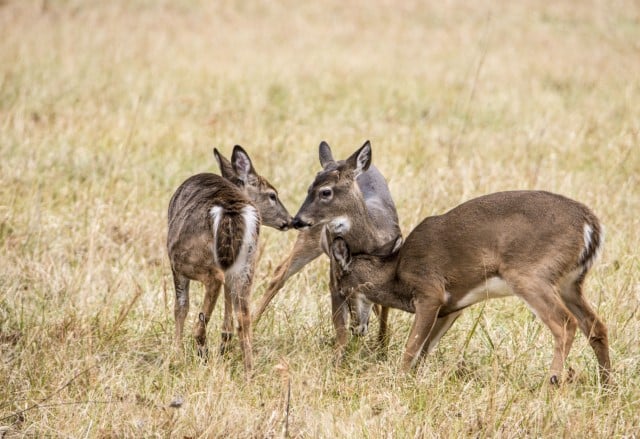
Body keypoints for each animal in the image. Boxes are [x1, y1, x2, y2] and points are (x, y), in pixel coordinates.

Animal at [168, 146, 292, 376]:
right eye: (272, 195)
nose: (289, 220)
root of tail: (230, 208)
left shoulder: (177, 266)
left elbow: (181, 307)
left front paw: (176, 357)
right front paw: (224, 344)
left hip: (187, 257)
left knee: (213, 283)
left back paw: (203, 352)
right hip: (247, 262)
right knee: (244, 314)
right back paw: (248, 371)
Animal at [252, 141, 402, 360]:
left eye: (325, 192)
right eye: (308, 189)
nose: (297, 220)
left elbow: (383, 308)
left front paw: (382, 348)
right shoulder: (336, 274)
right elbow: (340, 324)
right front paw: (339, 357)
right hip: (310, 239)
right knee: (280, 273)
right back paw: (251, 324)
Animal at [294, 143, 608, 386]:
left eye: (343, 286)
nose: (356, 327)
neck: (396, 272)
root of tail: (591, 224)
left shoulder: (430, 290)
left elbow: (411, 348)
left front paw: (398, 380)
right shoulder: (453, 305)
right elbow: (423, 350)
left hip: (530, 274)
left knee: (565, 323)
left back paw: (552, 381)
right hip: (571, 282)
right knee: (596, 326)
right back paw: (606, 387)